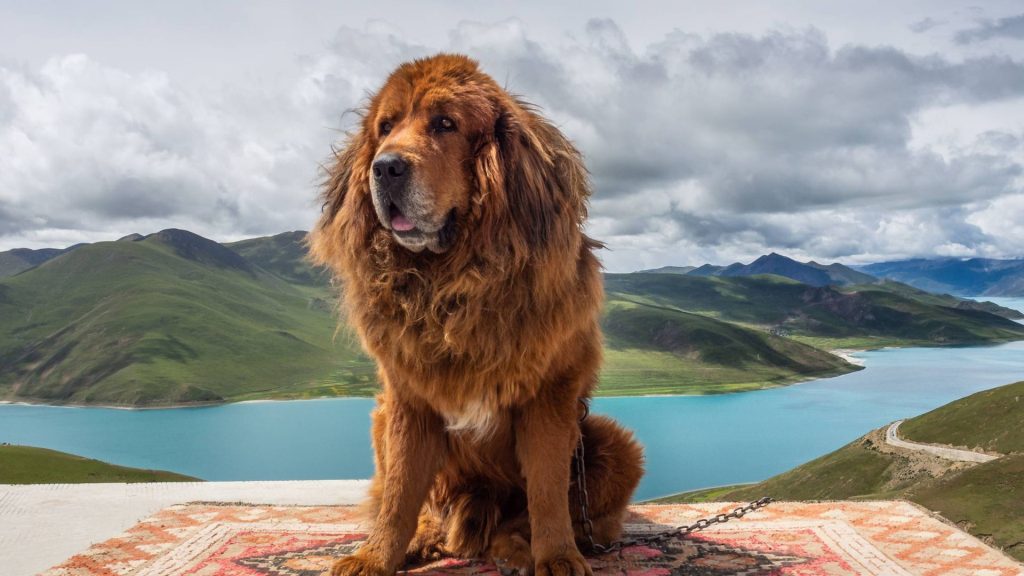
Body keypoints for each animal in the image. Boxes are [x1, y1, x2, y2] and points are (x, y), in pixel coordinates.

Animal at [311, 53, 643, 573]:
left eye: (445, 124)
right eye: (385, 128)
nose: (384, 168)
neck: (455, 284)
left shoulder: (549, 398)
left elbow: (548, 492)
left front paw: (557, 556)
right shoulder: (408, 400)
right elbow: (400, 493)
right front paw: (377, 555)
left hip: (611, 444)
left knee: (544, 514)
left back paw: (514, 546)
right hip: (383, 417)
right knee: (424, 501)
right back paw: (427, 537)